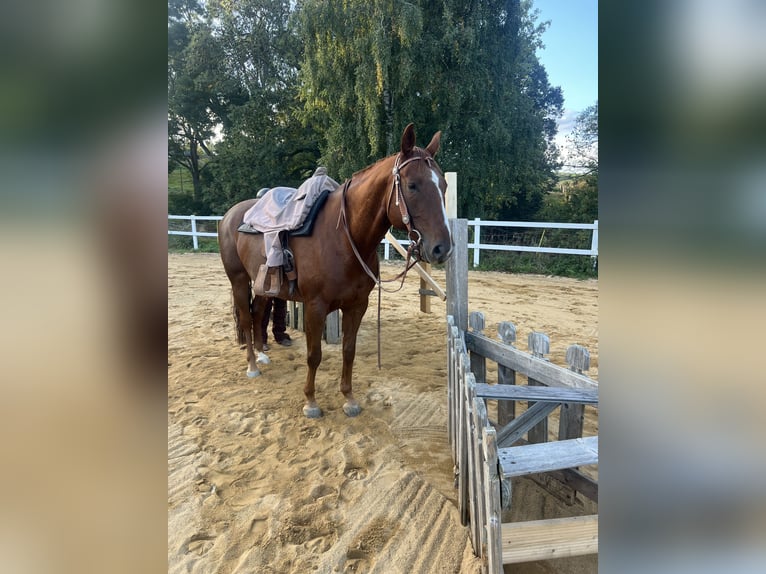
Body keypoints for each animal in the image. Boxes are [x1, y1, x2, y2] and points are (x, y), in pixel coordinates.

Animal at [218, 123, 453, 418]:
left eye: (443, 185)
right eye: (412, 185)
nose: (442, 248)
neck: (343, 236)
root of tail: (230, 215)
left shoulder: (357, 305)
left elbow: (349, 351)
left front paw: (349, 398)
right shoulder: (315, 306)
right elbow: (314, 355)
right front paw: (310, 401)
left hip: (263, 285)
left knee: (258, 312)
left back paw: (262, 354)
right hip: (239, 280)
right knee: (246, 319)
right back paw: (252, 365)